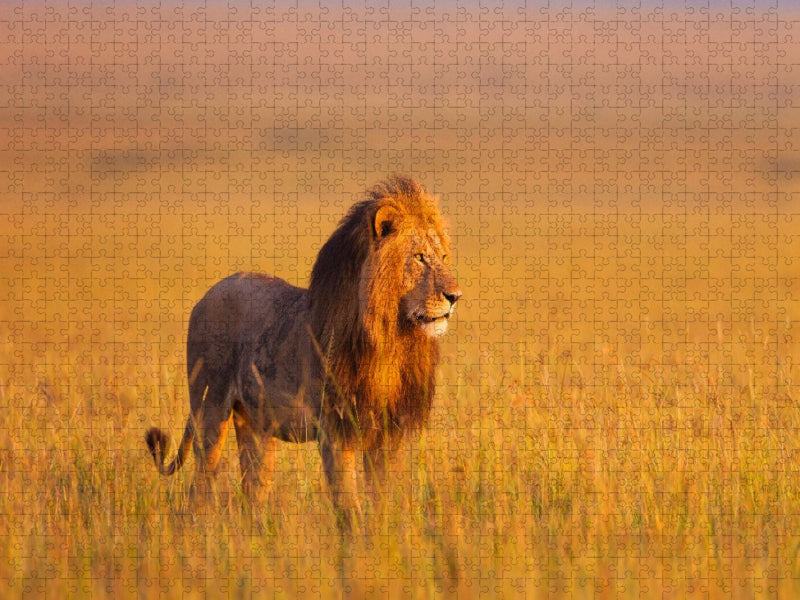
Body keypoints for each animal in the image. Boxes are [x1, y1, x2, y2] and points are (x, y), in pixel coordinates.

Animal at [145, 175, 462, 525]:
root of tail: (206, 295)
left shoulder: (389, 431)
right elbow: (348, 506)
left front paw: (386, 531)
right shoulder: (335, 429)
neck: (391, 340)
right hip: (210, 410)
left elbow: (384, 499)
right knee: (199, 486)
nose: (455, 296)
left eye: (443, 258)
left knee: (252, 492)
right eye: (419, 257)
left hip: (256, 426)